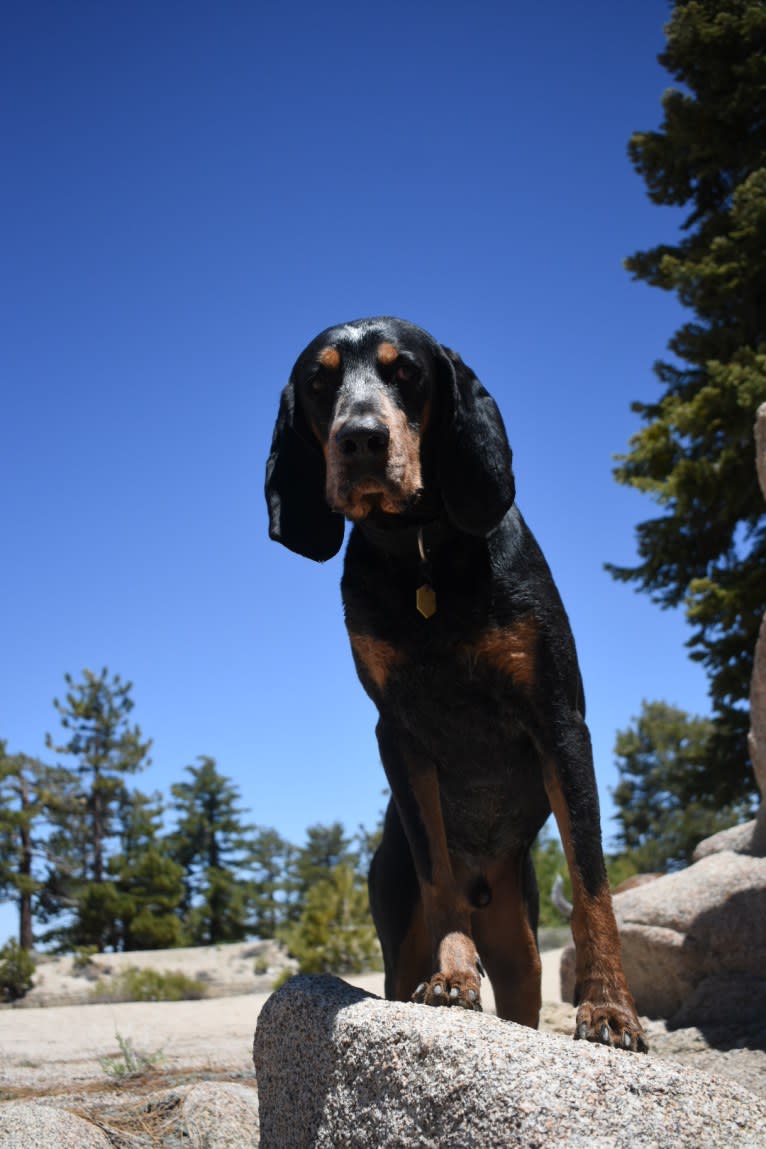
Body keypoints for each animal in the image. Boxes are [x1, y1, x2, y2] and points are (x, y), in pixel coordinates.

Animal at [264, 314, 647, 1052]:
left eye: (406, 371)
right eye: (320, 382)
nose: (360, 438)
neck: (423, 555)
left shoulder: (559, 719)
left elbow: (591, 882)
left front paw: (611, 1008)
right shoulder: (399, 733)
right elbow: (435, 866)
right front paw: (452, 978)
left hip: (521, 944)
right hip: (397, 928)